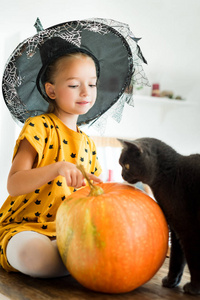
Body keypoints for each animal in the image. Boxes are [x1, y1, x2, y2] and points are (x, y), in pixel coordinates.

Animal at [119, 138, 200, 296]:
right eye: (121, 164)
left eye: (126, 165)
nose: (122, 175)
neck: (169, 176)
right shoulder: (175, 228)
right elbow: (176, 258)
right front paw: (171, 281)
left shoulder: (188, 230)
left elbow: (193, 260)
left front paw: (194, 288)